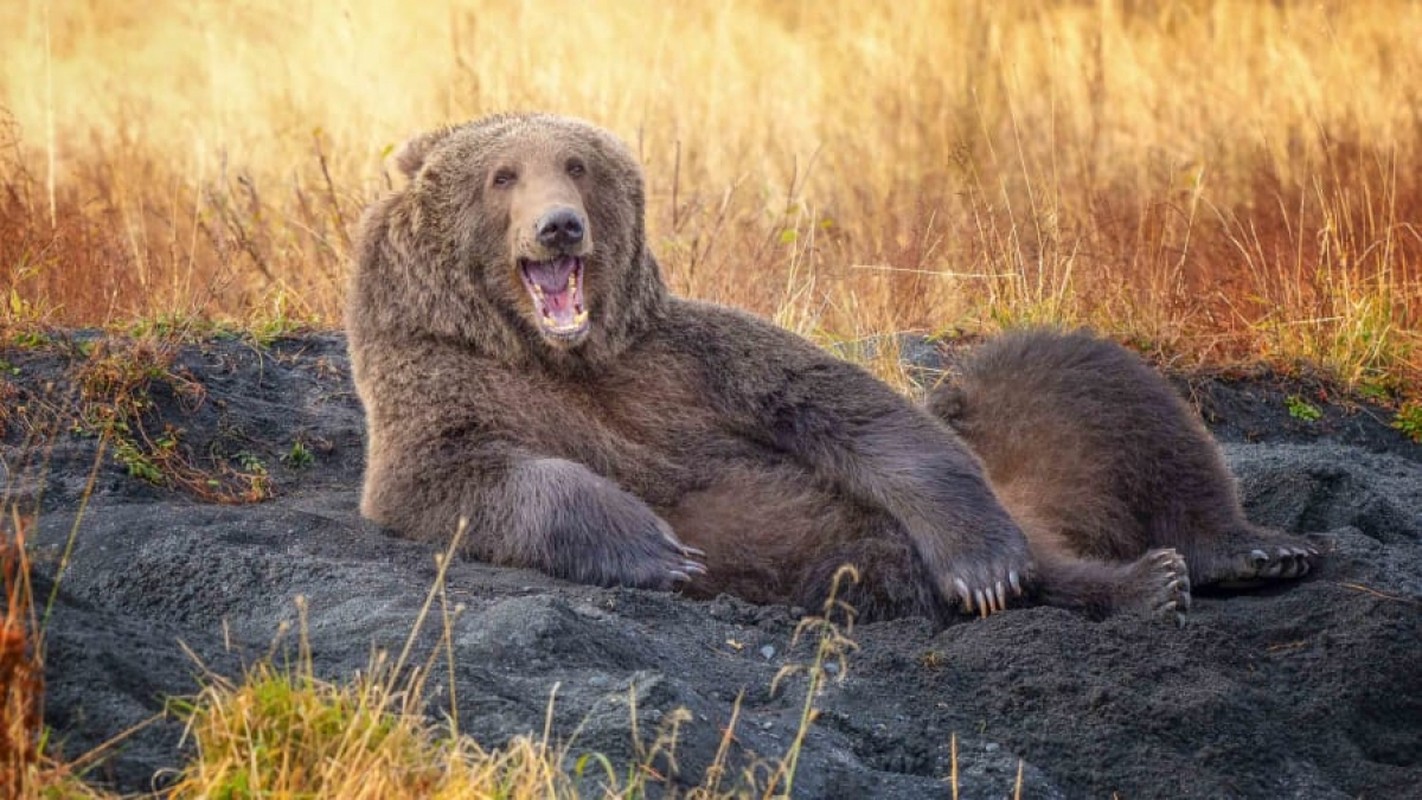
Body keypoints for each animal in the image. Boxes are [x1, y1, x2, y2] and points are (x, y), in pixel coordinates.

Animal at [349, 114, 1183, 625]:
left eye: (576, 165)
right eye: (503, 175)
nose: (560, 226)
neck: (556, 351)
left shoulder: (684, 361)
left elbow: (853, 409)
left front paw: (985, 566)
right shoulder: (444, 385)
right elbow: (460, 477)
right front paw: (661, 549)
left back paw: (1152, 581)